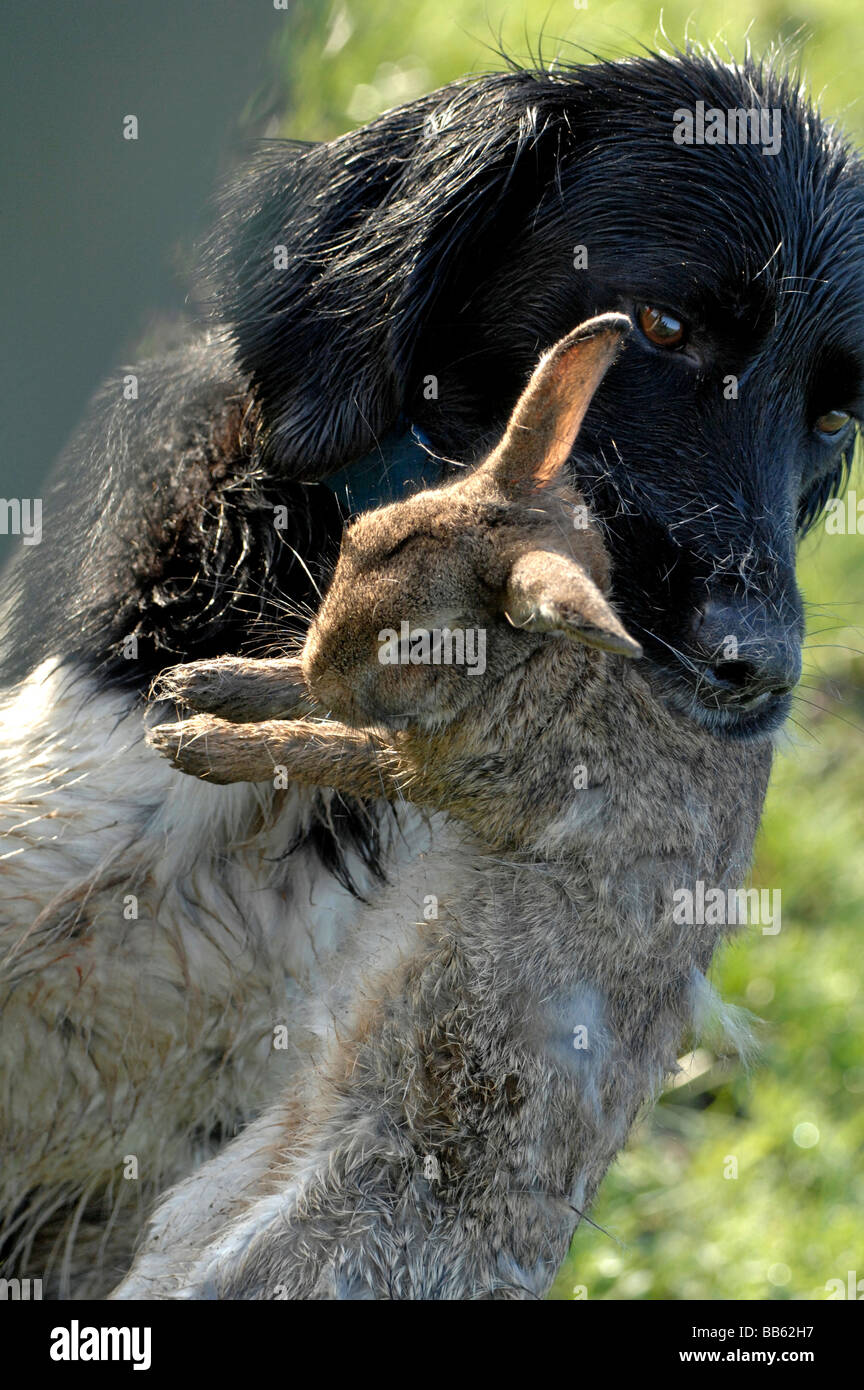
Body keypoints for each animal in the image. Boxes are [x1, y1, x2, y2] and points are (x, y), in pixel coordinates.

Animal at [113, 318, 772, 1301]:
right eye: (357, 538)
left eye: (420, 642)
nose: (327, 664)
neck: (543, 668)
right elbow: (300, 702)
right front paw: (199, 685)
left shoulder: (433, 767)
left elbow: (317, 745)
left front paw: (198, 744)